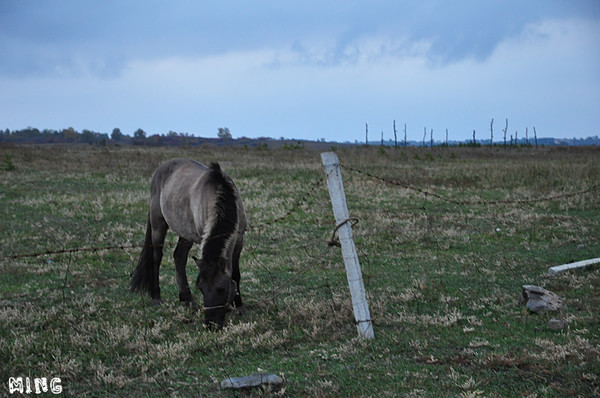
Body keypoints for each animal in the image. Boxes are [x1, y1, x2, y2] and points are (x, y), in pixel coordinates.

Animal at [129, 157, 246, 328]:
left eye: (221, 289)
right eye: (202, 289)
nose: (210, 325)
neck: (222, 197)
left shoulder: (239, 241)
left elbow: (236, 274)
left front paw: (240, 306)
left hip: (186, 233)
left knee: (179, 257)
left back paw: (187, 299)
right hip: (158, 226)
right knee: (157, 258)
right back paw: (156, 297)